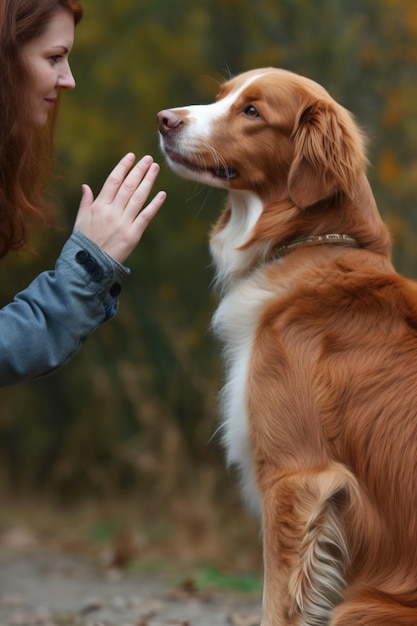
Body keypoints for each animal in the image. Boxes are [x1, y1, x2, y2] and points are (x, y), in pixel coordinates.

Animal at [157, 68, 417, 624]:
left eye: (253, 111)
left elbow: (277, 603)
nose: (165, 120)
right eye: (221, 96)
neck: (310, 243)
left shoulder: (295, 476)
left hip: (358, 607)